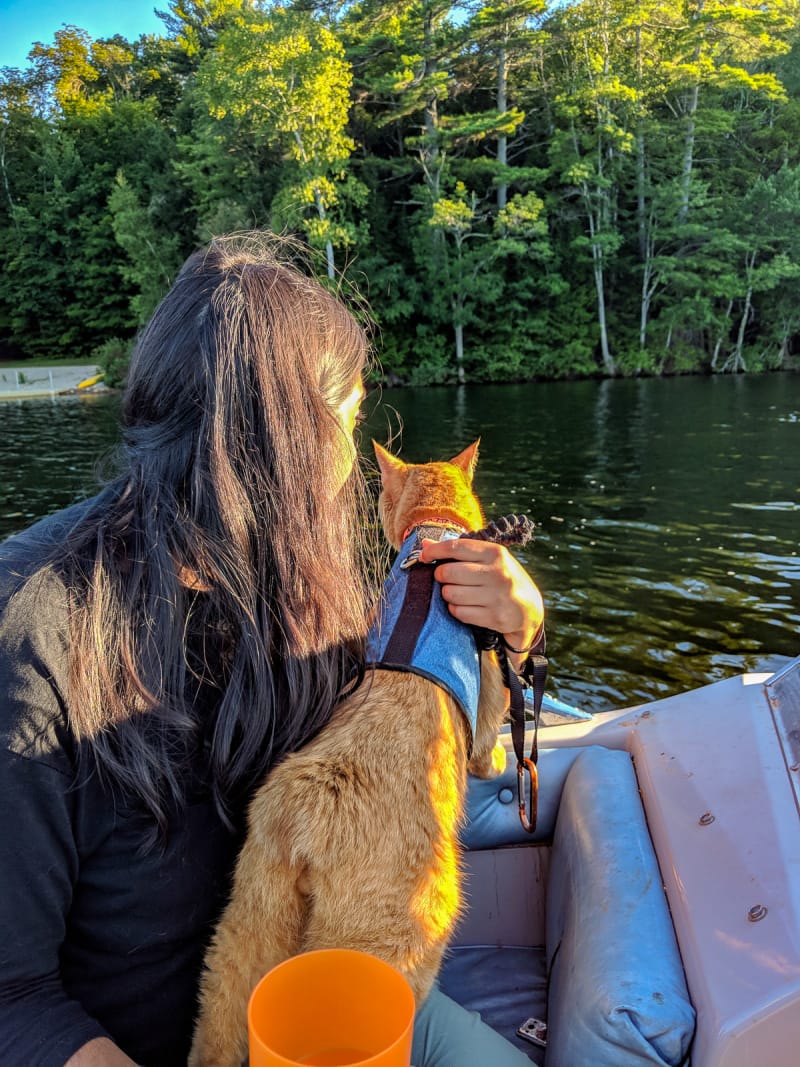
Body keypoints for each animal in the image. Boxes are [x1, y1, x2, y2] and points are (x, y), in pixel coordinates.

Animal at [189, 441, 507, 1067]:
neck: (434, 537)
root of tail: (311, 803)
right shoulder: (492, 689)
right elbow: (492, 742)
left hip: (246, 927)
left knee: (218, 1023)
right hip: (387, 953)